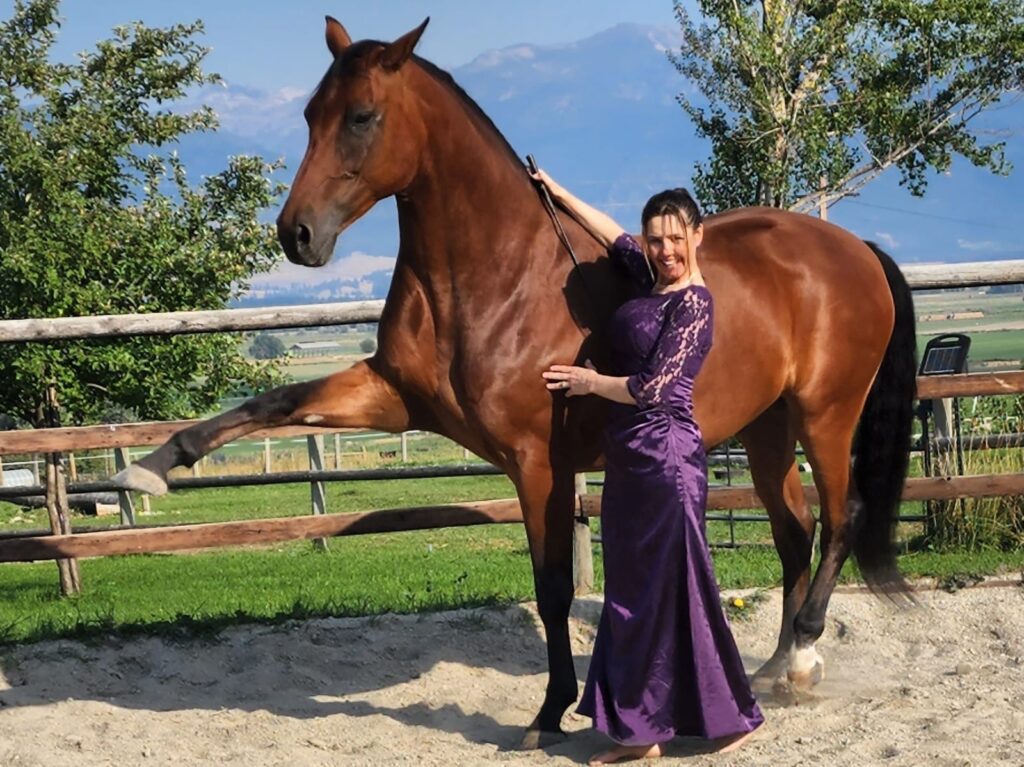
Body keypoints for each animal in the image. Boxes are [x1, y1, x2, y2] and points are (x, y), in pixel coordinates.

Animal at [114, 17, 916, 747]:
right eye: (311, 113)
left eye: (363, 116)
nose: (297, 235)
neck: (494, 279)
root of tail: (855, 250)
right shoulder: (391, 396)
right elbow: (272, 402)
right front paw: (149, 468)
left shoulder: (538, 464)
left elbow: (552, 588)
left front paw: (549, 712)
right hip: (766, 428)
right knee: (794, 530)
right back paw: (777, 666)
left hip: (825, 414)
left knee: (840, 516)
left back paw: (805, 651)